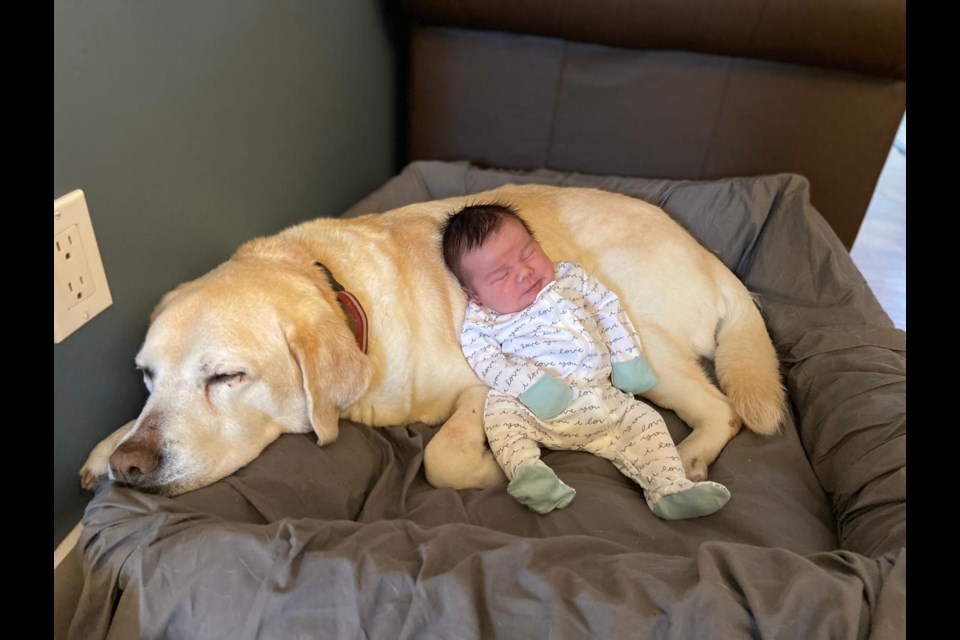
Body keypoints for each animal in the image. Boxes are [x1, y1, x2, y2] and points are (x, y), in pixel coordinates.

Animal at [82, 185, 784, 496]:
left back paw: (691, 458)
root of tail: (716, 261)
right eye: (146, 376)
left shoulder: (481, 386)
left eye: (227, 377)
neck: (341, 296)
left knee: (721, 408)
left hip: (639, 332)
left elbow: (443, 456)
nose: (132, 468)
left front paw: (486, 470)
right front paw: (106, 446)